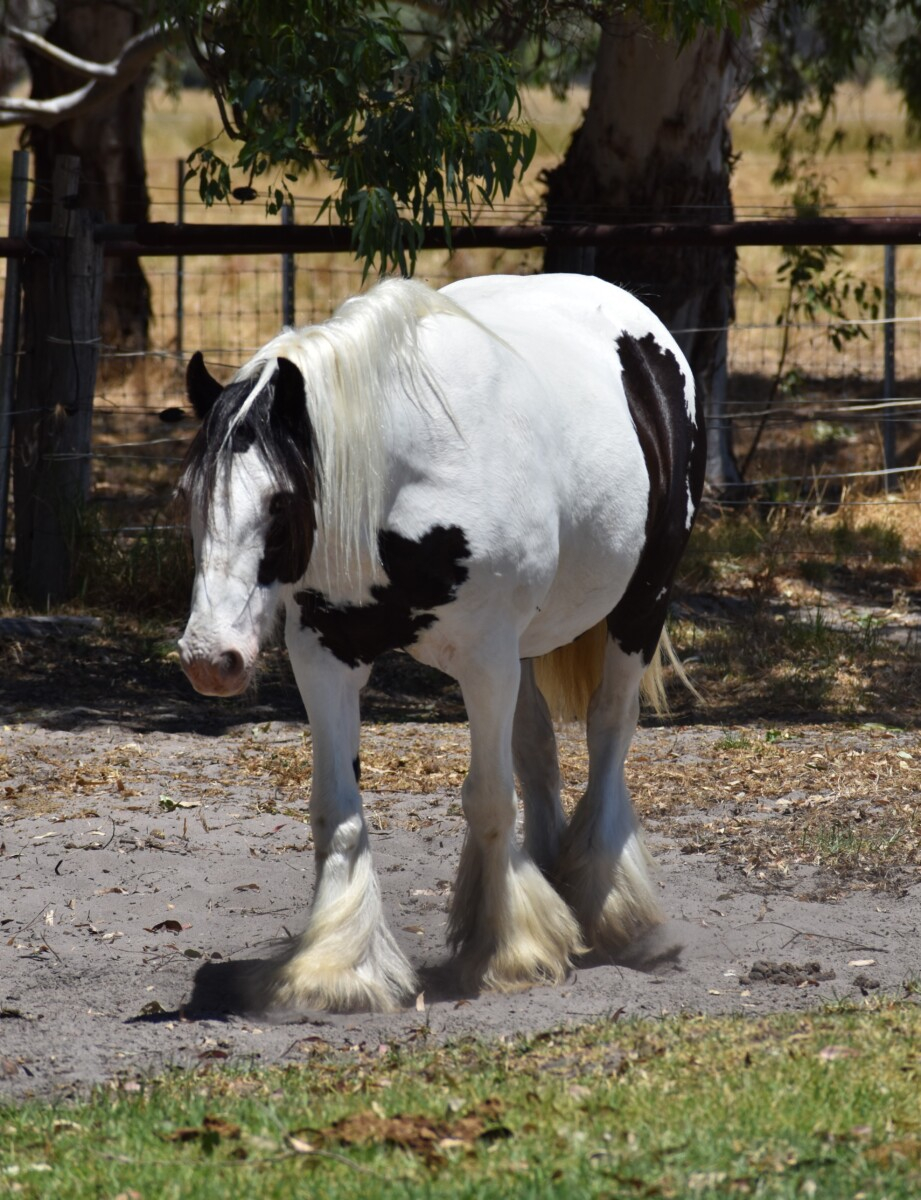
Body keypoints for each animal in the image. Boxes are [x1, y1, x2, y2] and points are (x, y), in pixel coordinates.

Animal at [177, 273, 706, 1013]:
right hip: (529, 647)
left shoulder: (485, 662)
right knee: (538, 749)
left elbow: (487, 798)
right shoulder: (326, 655)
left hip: (639, 606)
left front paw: (507, 950)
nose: (209, 659)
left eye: (281, 502)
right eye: (189, 494)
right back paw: (557, 883)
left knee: (608, 729)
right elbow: (336, 811)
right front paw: (332, 967)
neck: (406, 486)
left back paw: (607, 906)